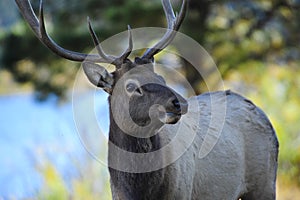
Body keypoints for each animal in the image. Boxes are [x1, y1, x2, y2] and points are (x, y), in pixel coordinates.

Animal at [15, 0, 278, 199]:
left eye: (160, 76)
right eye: (132, 87)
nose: (179, 103)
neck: (140, 191)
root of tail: (261, 112)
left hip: (265, 184)